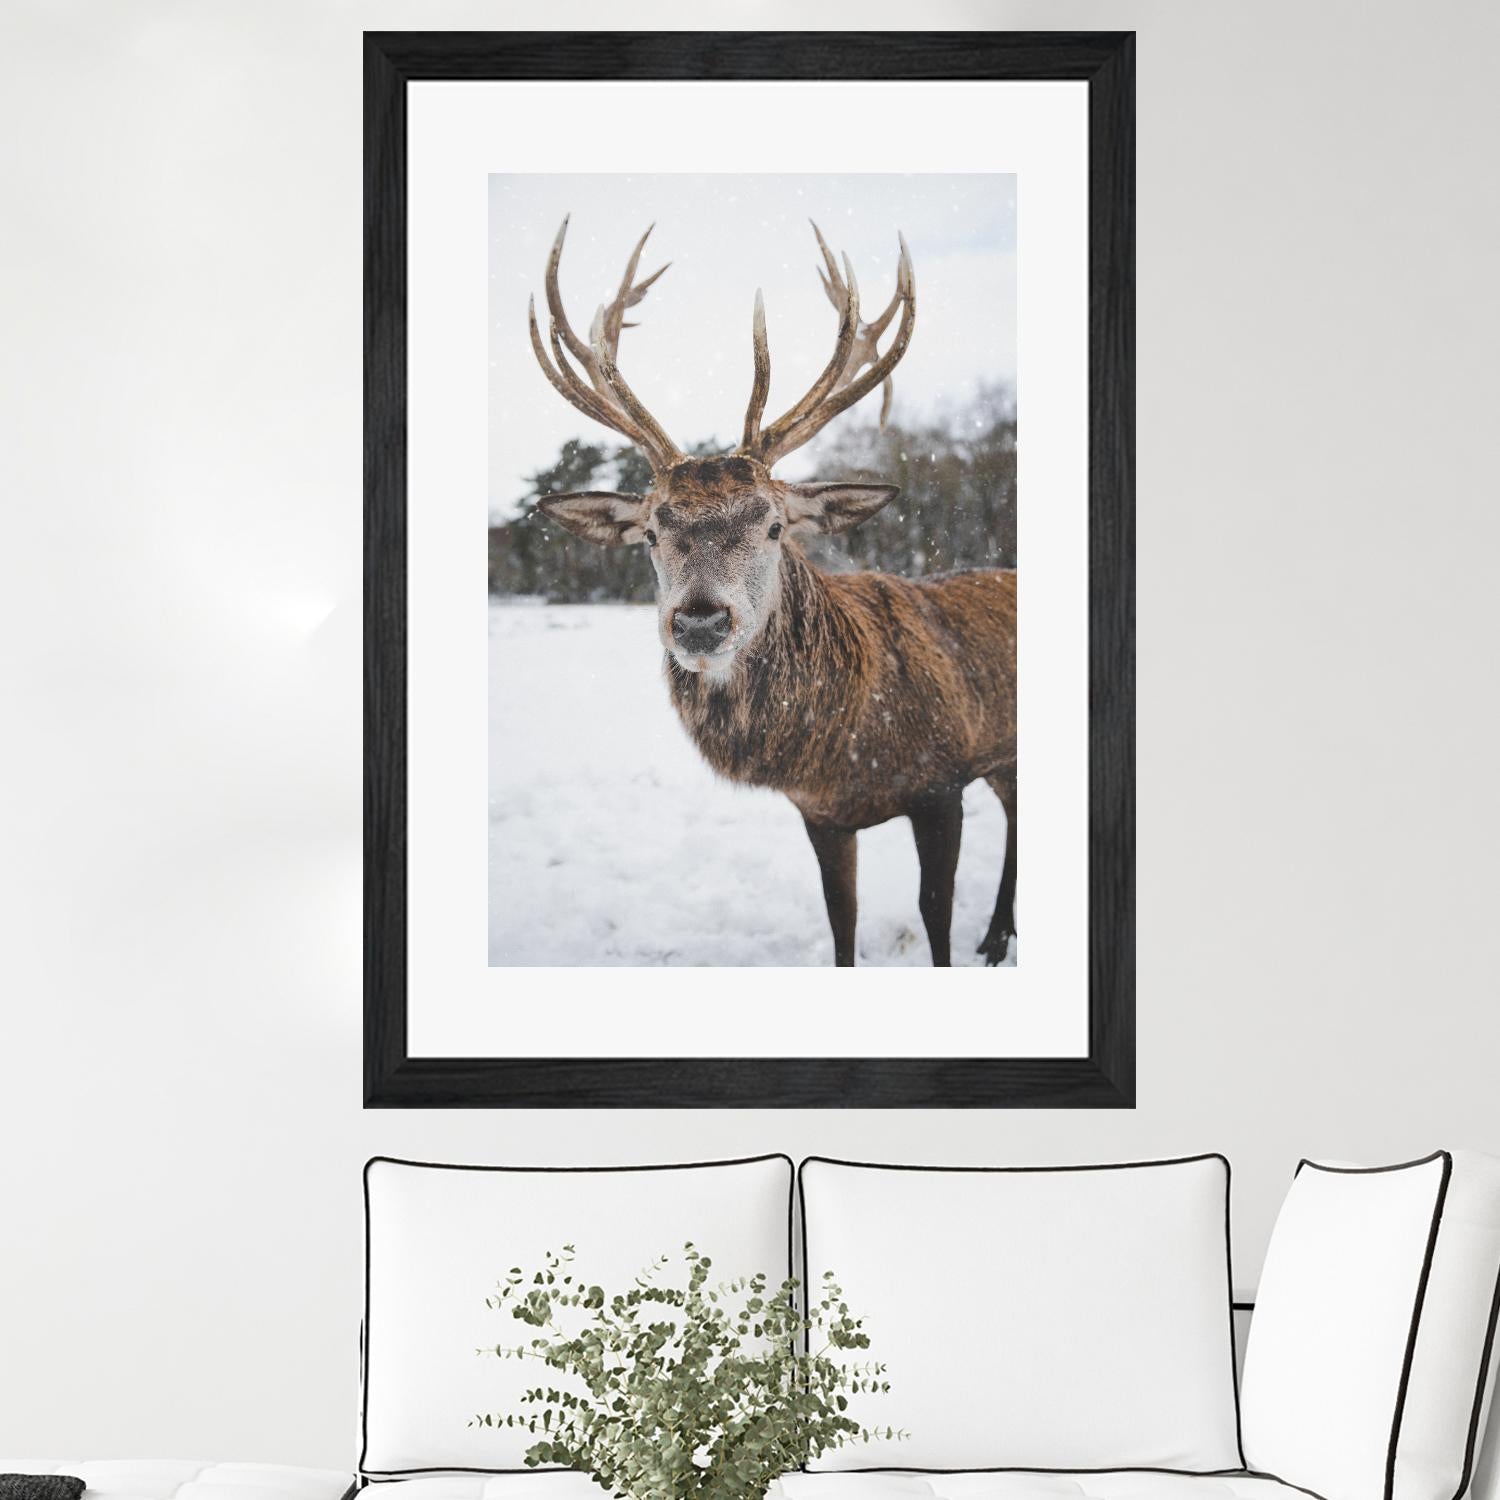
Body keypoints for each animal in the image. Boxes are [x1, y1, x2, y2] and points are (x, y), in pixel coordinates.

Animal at [527, 217, 1016, 967]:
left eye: (775, 524)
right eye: (650, 531)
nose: (700, 622)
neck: (846, 748)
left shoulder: (942, 782)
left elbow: (934, 916)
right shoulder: (820, 814)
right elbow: (841, 919)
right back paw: (996, 934)